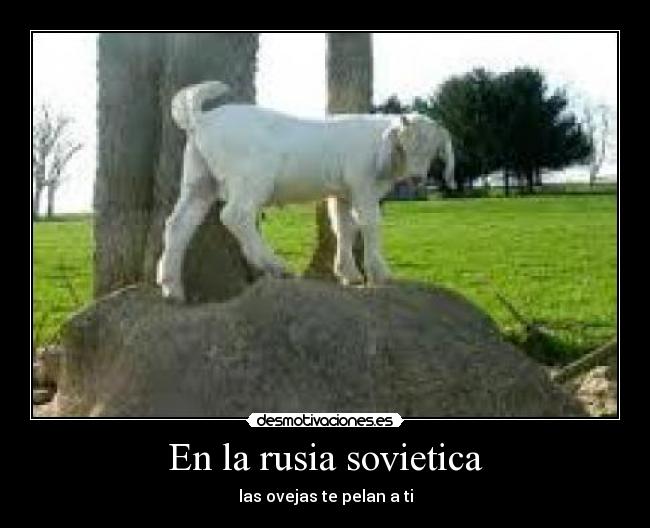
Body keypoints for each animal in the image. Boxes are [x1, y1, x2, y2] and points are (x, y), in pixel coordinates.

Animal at [157, 80, 455, 301]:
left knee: (178, 223)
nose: (416, 179)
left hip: (199, 177)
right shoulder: (362, 185)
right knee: (235, 214)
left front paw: (349, 274)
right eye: (403, 145)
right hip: (251, 174)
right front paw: (380, 274)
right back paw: (276, 266)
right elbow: (370, 223)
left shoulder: (342, 192)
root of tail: (201, 120)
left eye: (432, 149)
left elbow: (344, 227)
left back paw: (172, 288)